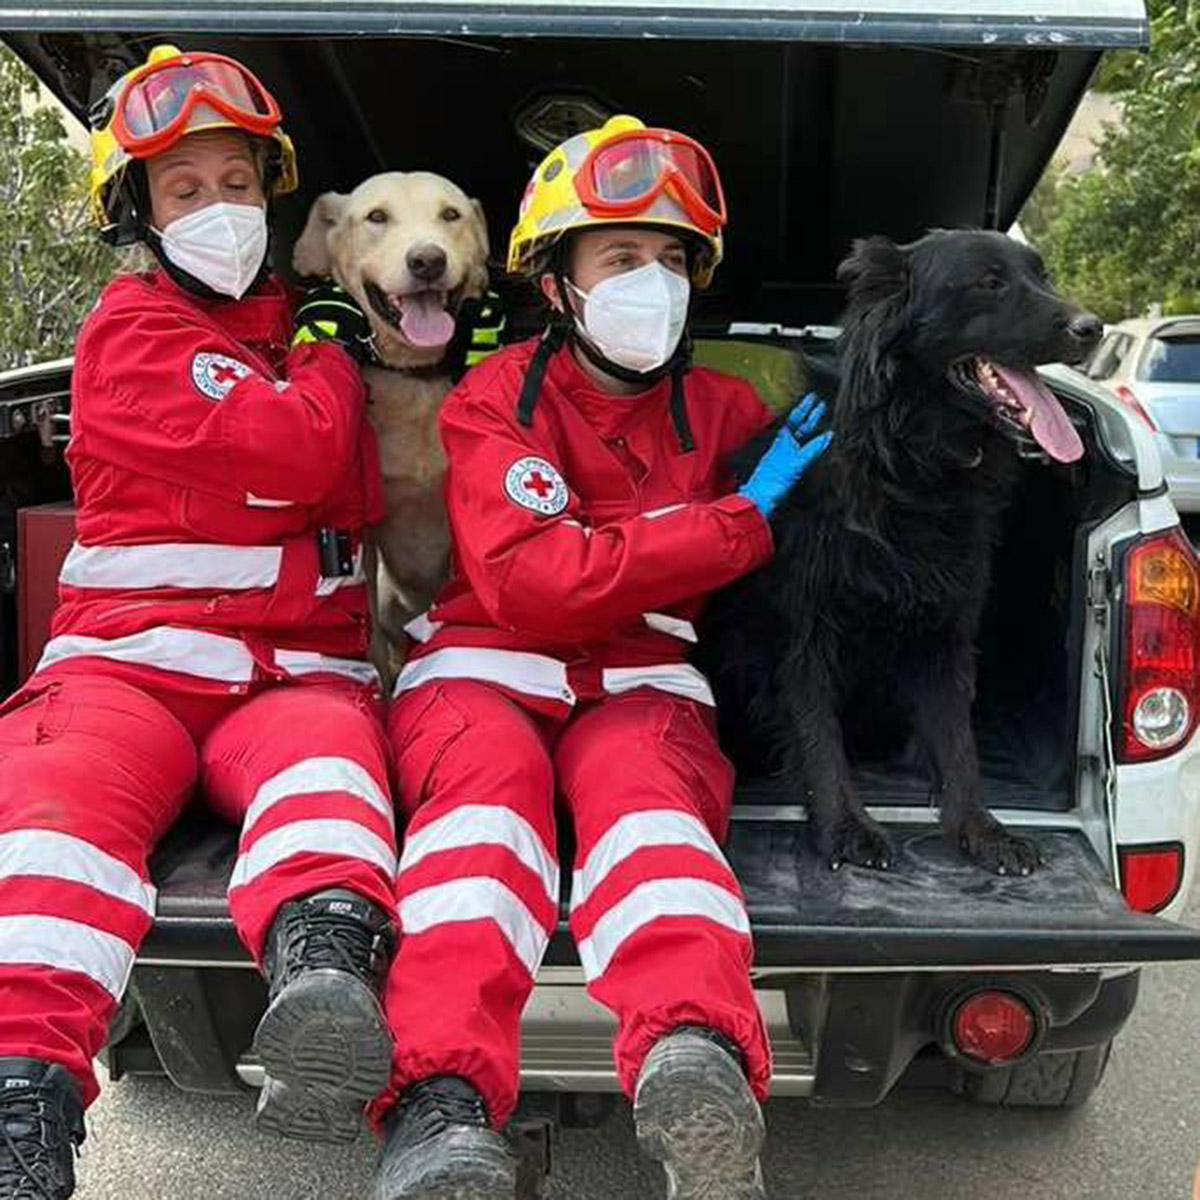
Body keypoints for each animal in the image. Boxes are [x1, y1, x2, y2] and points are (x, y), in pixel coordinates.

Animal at [700, 231, 1104, 873]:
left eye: (1042, 277)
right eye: (990, 282)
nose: (1094, 329)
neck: (911, 460)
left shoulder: (946, 633)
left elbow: (959, 741)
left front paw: (980, 828)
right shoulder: (803, 632)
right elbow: (817, 734)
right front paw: (846, 826)